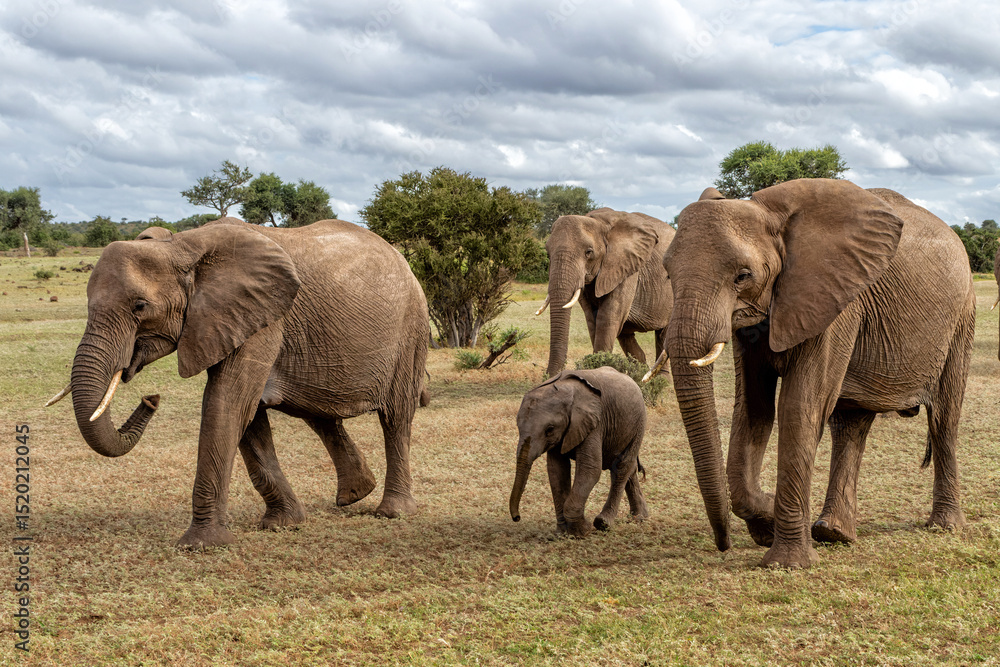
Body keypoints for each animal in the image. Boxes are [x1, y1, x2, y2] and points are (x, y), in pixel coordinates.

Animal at [47, 217, 430, 548]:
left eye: (140, 306)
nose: (150, 399)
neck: (180, 246)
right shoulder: (229, 320)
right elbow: (246, 414)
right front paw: (282, 524)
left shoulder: (262, 318)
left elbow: (227, 402)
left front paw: (200, 545)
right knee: (319, 413)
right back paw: (355, 494)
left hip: (411, 328)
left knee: (395, 417)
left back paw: (391, 512)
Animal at [509, 367, 649, 537]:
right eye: (517, 426)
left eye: (549, 429)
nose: (517, 517)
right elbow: (557, 471)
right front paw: (562, 533)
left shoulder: (595, 423)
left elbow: (590, 469)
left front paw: (582, 531)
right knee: (629, 468)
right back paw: (639, 518)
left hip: (639, 422)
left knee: (622, 466)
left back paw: (604, 523)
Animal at [541, 208, 674, 377]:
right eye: (547, 253)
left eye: (589, 252)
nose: (550, 376)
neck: (598, 221)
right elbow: (592, 319)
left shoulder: (626, 267)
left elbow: (607, 317)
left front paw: (598, 371)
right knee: (626, 335)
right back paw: (638, 373)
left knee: (663, 335)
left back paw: (660, 378)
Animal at [660, 179, 974, 569]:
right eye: (667, 273)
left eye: (742, 276)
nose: (724, 544)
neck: (772, 215)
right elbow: (752, 410)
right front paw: (766, 521)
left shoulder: (836, 302)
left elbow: (799, 408)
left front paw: (785, 562)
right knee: (851, 424)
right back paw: (832, 532)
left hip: (961, 316)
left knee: (944, 418)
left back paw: (944, 526)